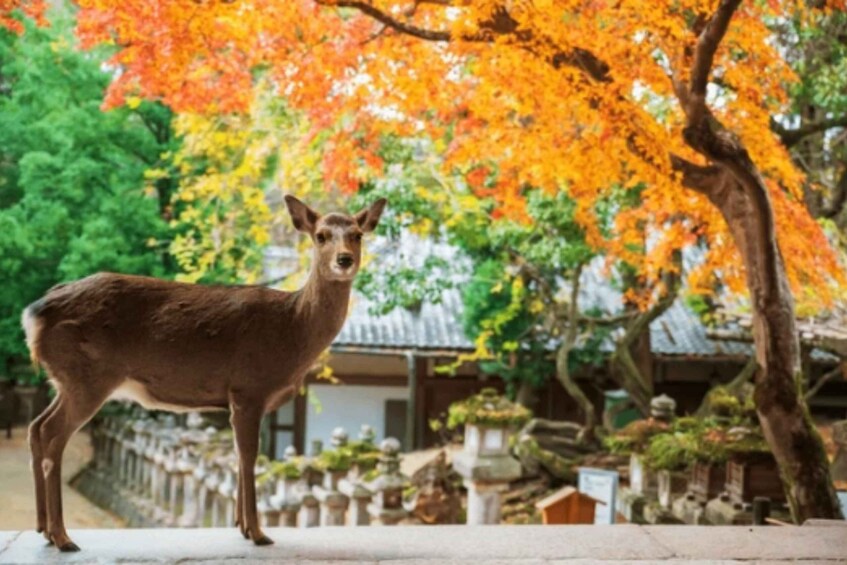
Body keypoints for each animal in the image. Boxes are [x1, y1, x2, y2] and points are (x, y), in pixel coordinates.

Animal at [21, 195, 386, 552]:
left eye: (357, 235)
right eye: (321, 235)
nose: (344, 260)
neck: (293, 330)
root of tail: (34, 314)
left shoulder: (240, 399)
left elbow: (239, 455)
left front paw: (242, 527)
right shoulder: (249, 388)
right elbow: (249, 456)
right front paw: (257, 533)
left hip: (66, 380)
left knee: (36, 427)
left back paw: (43, 529)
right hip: (87, 376)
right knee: (52, 434)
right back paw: (63, 537)